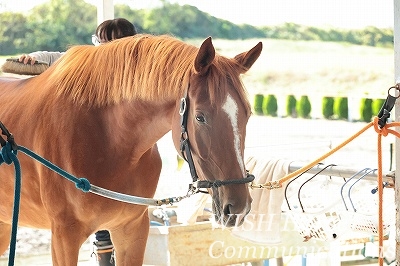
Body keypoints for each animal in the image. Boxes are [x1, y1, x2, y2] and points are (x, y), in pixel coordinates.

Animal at [0, 34, 262, 264]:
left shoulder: (132, 230)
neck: (108, 140)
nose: (238, 207)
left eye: (248, 114)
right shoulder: (65, 238)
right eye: (200, 117)